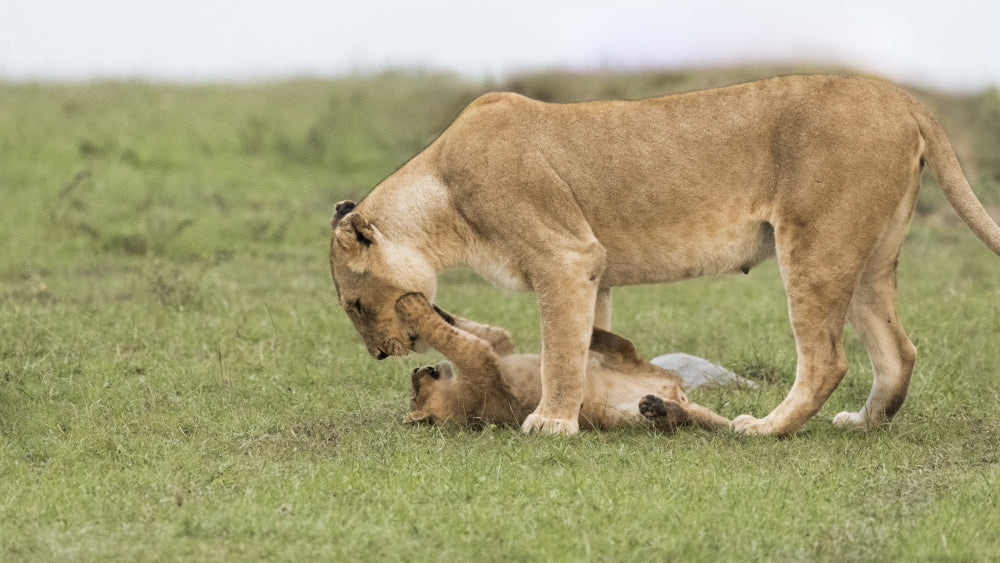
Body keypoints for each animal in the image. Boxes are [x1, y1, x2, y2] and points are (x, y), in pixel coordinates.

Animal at [395, 293, 728, 430]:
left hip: (633, 364)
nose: (416, 370)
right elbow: (454, 340)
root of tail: (678, 394)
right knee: (680, 419)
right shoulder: (482, 364)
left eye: (413, 392)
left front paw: (430, 306)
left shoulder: (498, 350)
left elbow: (477, 331)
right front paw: (410, 305)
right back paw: (656, 406)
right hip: (627, 415)